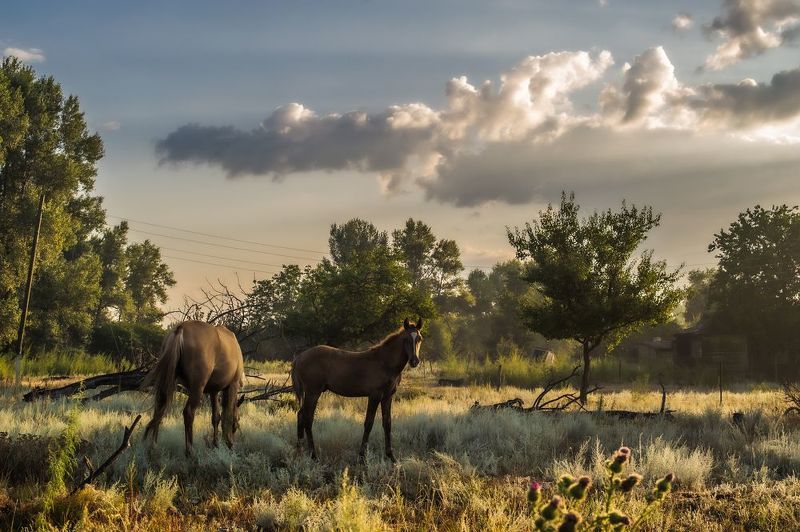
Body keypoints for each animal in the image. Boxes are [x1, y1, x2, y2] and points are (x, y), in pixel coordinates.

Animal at [144, 320, 244, 458]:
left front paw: (216, 444)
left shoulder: (213, 391)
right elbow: (227, 416)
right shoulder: (232, 385)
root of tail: (181, 329)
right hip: (197, 388)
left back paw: (153, 447)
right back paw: (190, 451)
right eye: (237, 422)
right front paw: (228, 444)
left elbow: (216, 417)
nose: (232, 442)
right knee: (188, 413)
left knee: (159, 409)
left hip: (168, 381)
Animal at [290, 316, 422, 462]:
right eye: (406, 339)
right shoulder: (375, 395)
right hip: (313, 392)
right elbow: (368, 423)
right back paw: (314, 456)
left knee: (301, 415)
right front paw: (362, 457)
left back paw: (299, 452)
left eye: (419, 339)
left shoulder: (388, 396)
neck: (384, 363)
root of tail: (300, 357)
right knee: (307, 419)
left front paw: (391, 457)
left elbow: (387, 424)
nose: (414, 361)